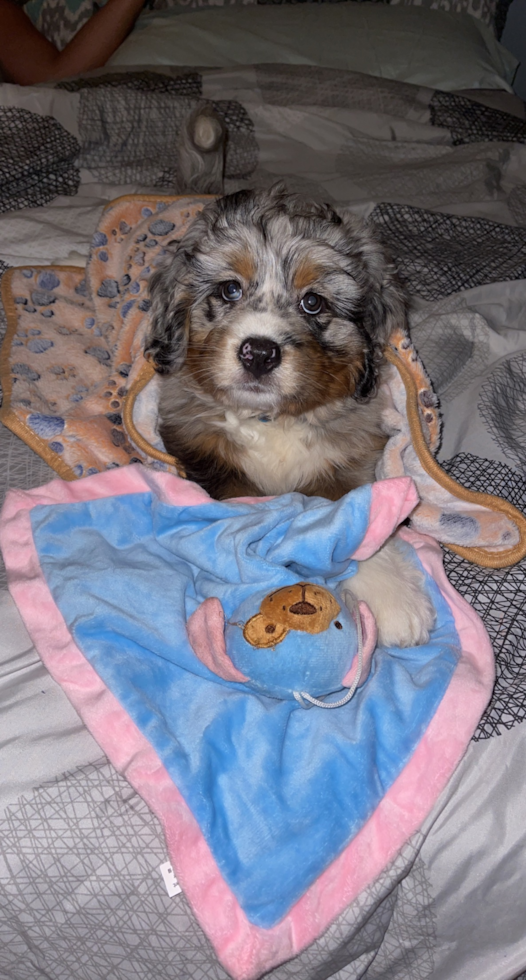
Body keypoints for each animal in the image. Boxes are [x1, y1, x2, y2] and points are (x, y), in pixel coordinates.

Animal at [145, 187, 438, 648]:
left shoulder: (351, 453)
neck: (271, 419)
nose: (259, 352)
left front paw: (393, 596)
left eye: (313, 302)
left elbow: (353, 514)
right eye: (229, 290)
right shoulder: (205, 454)